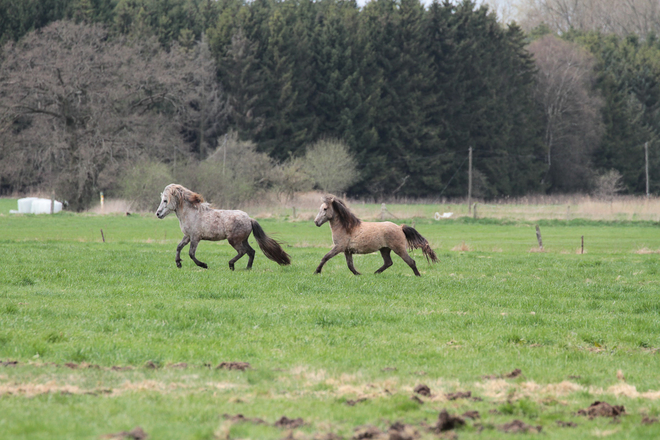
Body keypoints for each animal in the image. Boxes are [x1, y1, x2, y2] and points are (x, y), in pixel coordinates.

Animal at [156, 184, 290, 270]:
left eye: (165, 200)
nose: (158, 214)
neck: (192, 214)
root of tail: (249, 219)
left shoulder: (195, 237)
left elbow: (191, 253)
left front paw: (204, 265)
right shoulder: (187, 236)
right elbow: (179, 247)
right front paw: (178, 263)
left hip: (234, 240)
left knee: (242, 251)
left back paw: (231, 265)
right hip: (243, 240)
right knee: (251, 251)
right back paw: (247, 268)